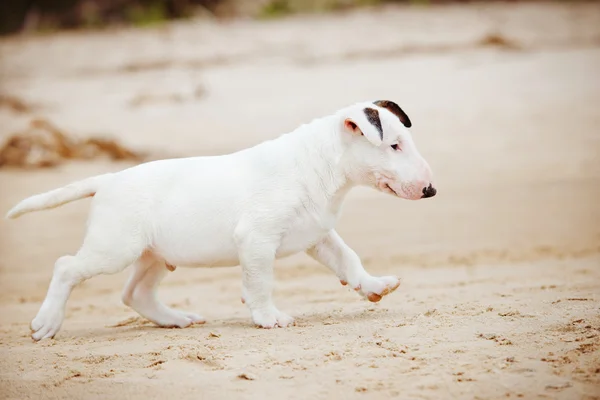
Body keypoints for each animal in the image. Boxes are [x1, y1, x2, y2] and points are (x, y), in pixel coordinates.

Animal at [4, 100, 436, 340]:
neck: (320, 166)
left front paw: (373, 286)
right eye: (394, 145)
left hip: (155, 256)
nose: (431, 190)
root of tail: (107, 179)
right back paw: (46, 323)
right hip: (113, 249)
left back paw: (174, 319)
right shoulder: (257, 240)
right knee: (66, 267)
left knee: (134, 293)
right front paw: (268, 318)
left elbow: (349, 259)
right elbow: (260, 283)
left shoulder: (318, 235)